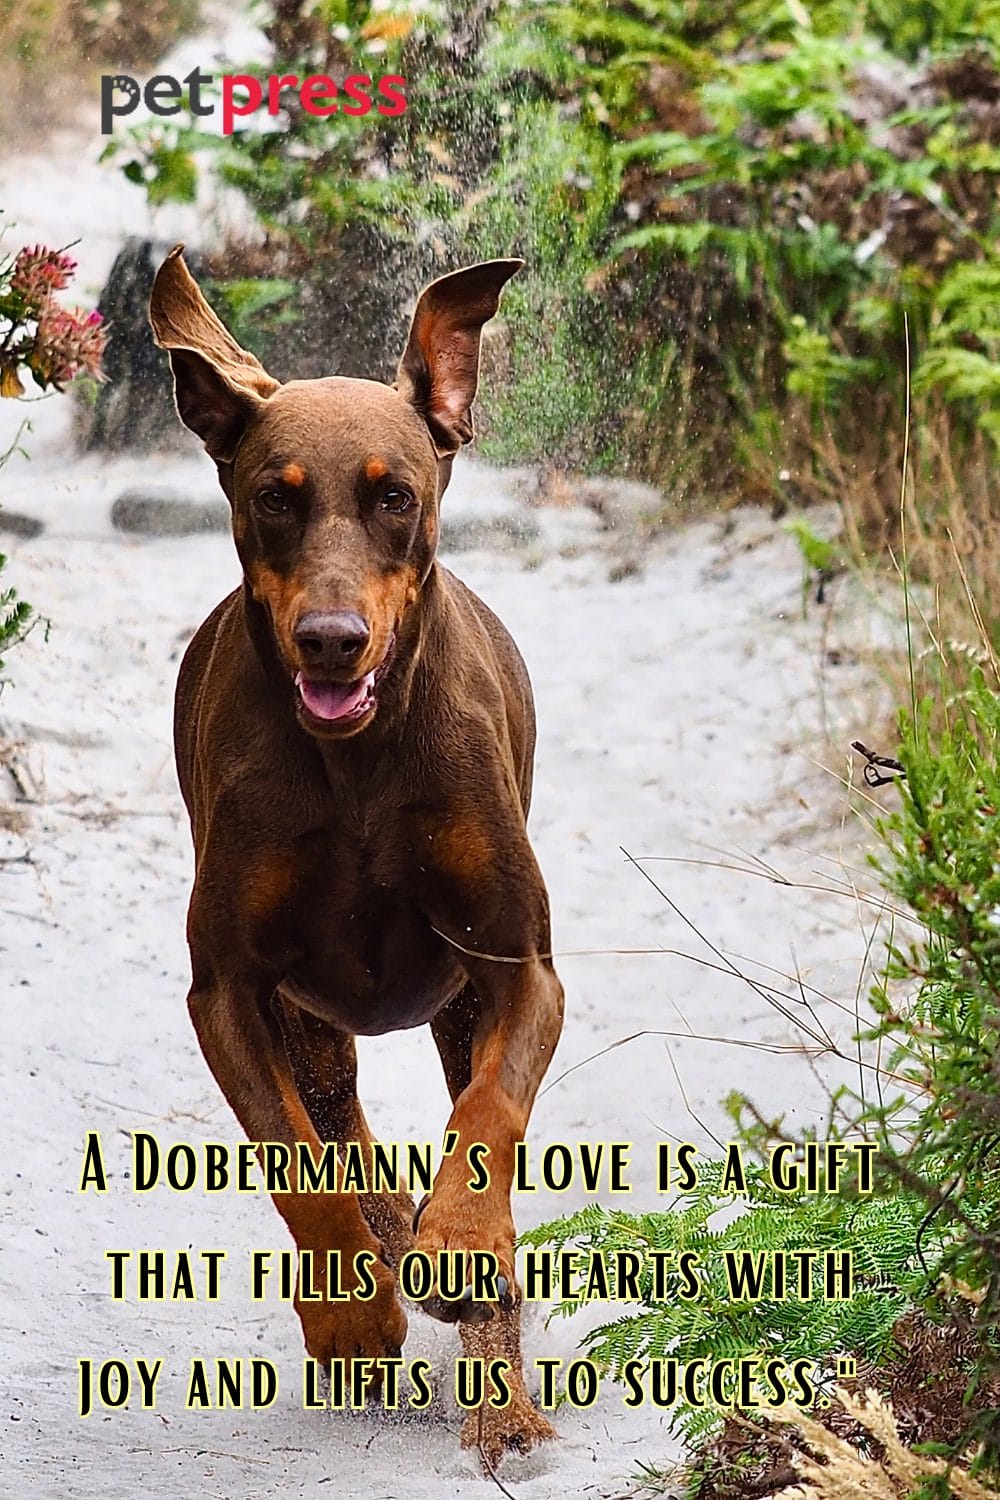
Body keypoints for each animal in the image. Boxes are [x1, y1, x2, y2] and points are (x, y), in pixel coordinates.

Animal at [149, 246, 564, 1463]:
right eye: (272, 499)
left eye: (394, 497)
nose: (330, 641)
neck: (359, 766)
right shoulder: (231, 990)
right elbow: (294, 1159)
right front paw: (350, 1309)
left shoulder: (517, 967)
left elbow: (489, 1121)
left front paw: (459, 1247)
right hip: (313, 1016)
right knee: (335, 1117)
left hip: (456, 1004)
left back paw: (500, 1393)